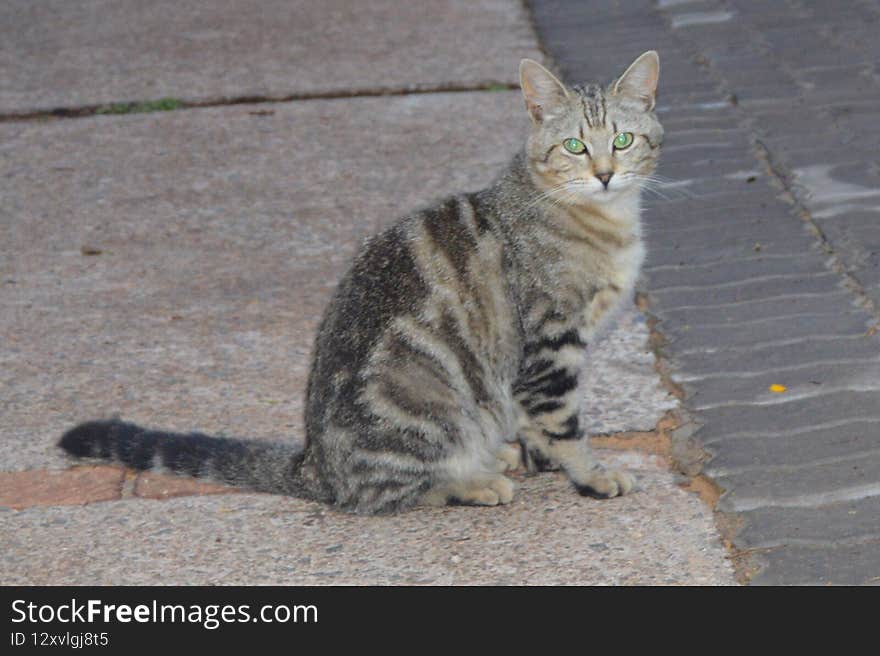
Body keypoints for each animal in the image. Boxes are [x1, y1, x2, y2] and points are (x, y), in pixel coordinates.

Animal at [60, 51, 660, 516]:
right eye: (575, 146)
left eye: (624, 140)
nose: (605, 173)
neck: (597, 219)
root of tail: (316, 464)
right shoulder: (550, 343)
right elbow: (562, 424)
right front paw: (591, 474)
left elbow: (540, 426)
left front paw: (544, 459)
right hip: (431, 415)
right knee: (384, 494)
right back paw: (473, 482)